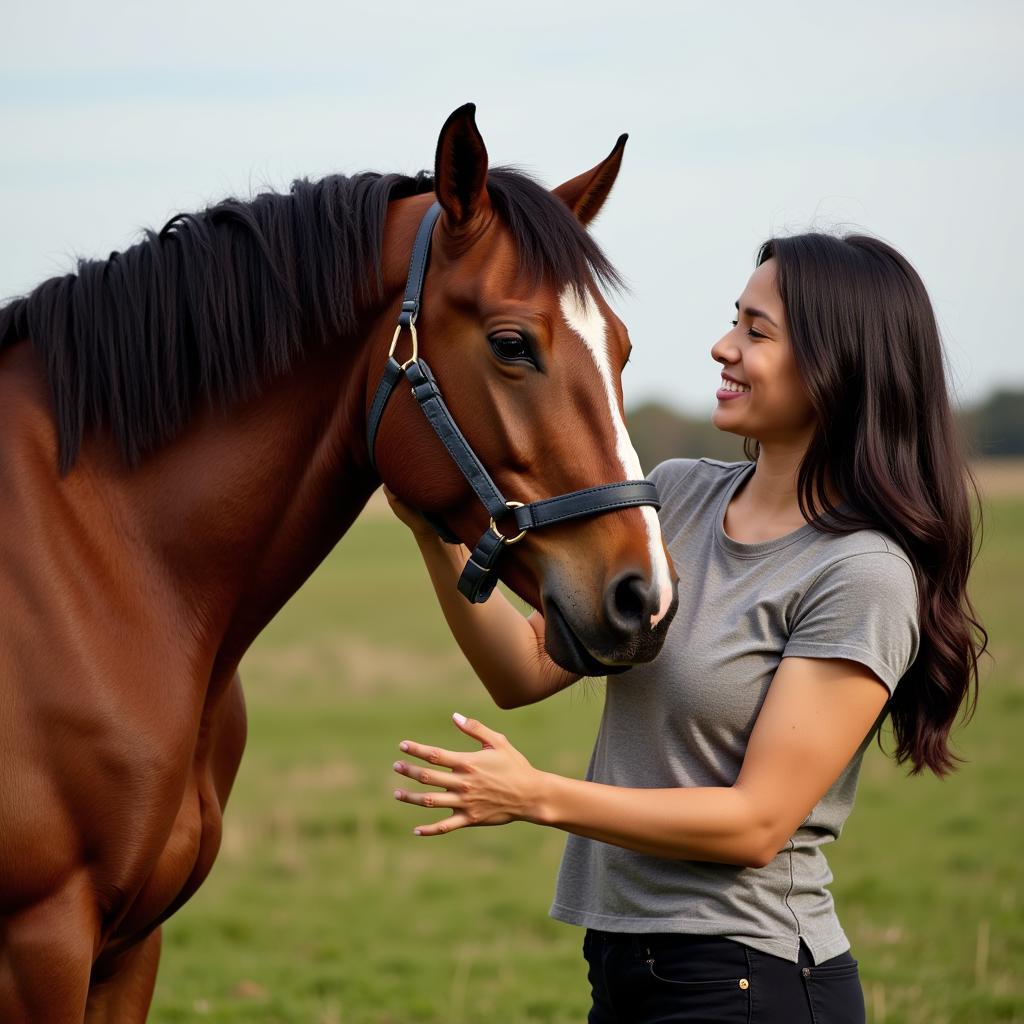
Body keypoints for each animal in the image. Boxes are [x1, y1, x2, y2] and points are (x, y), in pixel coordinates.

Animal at [0, 101, 675, 1015]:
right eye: (511, 344)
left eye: (623, 348)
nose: (645, 598)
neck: (97, 574)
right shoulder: (42, 944)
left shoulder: (130, 947)